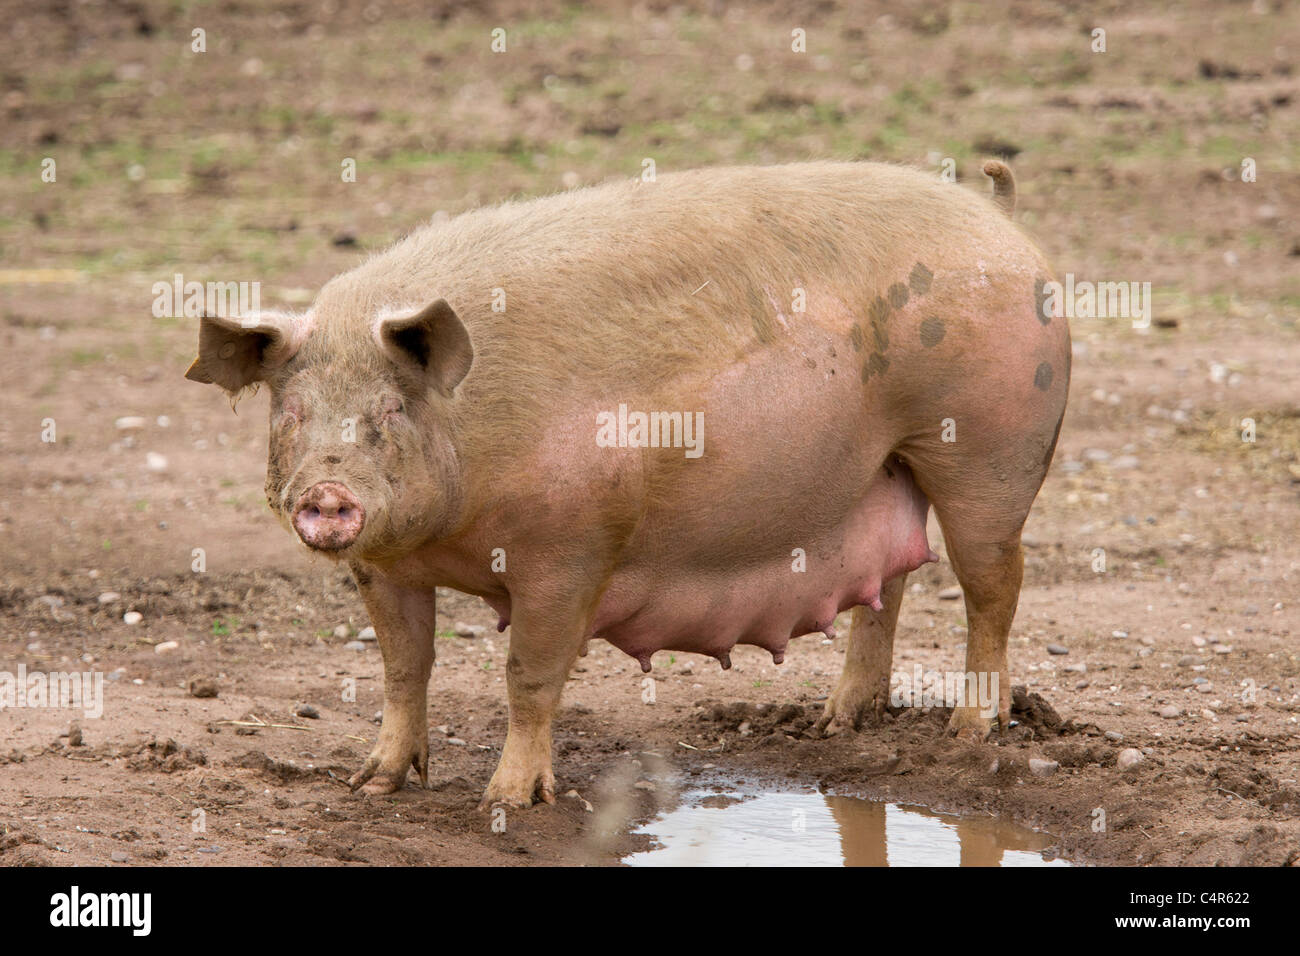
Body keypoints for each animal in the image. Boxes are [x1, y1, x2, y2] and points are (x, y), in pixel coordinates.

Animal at [188, 162, 1071, 806]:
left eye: (389, 411)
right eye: (293, 411)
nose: (326, 495)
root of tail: (997, 214)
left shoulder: (570, 550)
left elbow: (529, 676)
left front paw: (506, 802)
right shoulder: (382, 566)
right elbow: (405, 668)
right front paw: (371, 784)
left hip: (990, 449)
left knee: (993, 582)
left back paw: (972, 732)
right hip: (887, 466)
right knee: (891, 582)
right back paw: (836, 724)